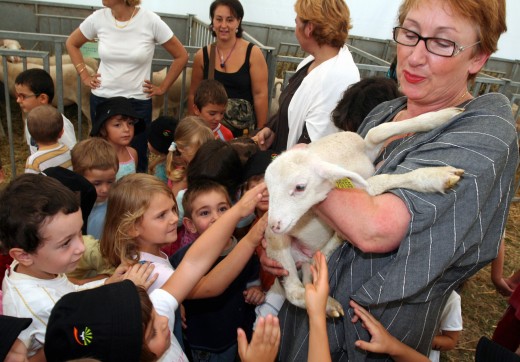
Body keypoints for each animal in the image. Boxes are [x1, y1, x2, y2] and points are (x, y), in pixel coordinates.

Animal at [264, 106, 464, 316]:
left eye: (300, 187)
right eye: (268, 189)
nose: (274, 224)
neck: (338, 156)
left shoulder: (366, 148)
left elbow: (378, 131)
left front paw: (444, 115)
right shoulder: (362, 187)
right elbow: (379, 180)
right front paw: (437, 176)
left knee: (313, 266)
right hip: (277, 246)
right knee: (294, 291)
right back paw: (329, 305)